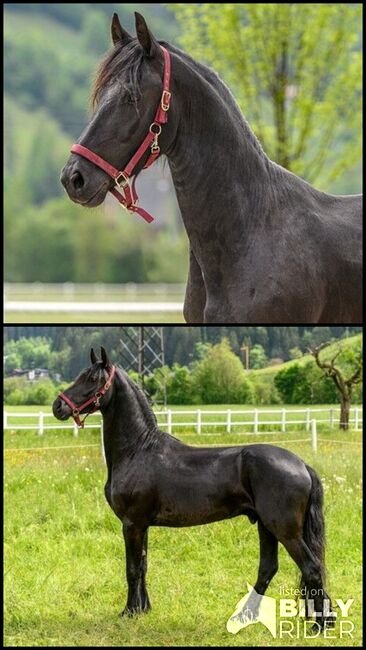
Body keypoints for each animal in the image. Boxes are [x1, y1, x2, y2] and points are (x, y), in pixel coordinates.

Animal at [52, 350, 334, 628]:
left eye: (92, 379)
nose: (58, 406)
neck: (138, 449)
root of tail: (302, 464)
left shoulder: (131, 523)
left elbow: (132, 568)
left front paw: (129, 612)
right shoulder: (142, 525)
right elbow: (143, 565)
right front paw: (143, 609)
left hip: (285, 530)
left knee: (311, 567)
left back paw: (320, 624)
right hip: (266, 526)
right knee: (269, 568)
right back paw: (248, 616)